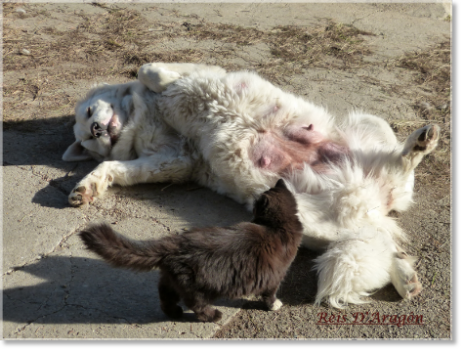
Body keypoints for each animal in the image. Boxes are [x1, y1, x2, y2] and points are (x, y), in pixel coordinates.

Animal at [63, 62, 440, 308]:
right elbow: (113, 165)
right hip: (316, 222)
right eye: (85, 137)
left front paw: (154, 77)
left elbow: (148, 71)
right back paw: (406, 278)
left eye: (89, 113)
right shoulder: (174, 159)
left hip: (369, 124)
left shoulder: (190, 87)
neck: (143, 117)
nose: (95, 130)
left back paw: (422, 142)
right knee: (383, 242)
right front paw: (87, 187)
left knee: (399, 166)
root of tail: (369, 201)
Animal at [80, 180, 304, 324]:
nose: (251, 211)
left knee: (165, 295)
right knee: (197, 305)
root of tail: (175, 244)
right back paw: (213, 315)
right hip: (196, 287)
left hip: (171, 279)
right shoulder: (275, 274)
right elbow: (269, 293)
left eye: (256, 207)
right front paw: (274, 305)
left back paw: (174, 313)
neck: (276, 226)